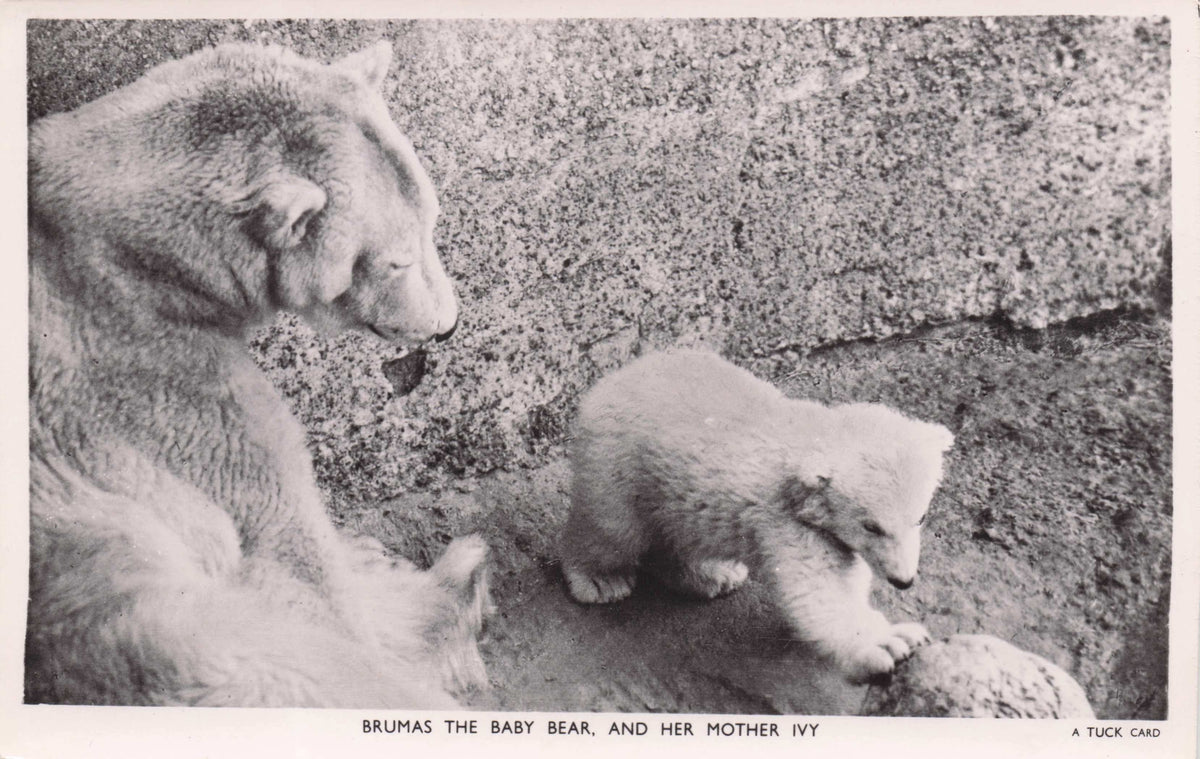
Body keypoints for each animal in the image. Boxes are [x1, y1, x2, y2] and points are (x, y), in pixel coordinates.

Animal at [27, 41, 489, 708]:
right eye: (397, 259)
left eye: (433, 218)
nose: (448, 326)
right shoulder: (156, 382)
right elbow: (289, 544)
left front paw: (376, 560)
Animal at [560, 349, 954, 683]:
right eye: (872, 526)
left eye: (920, 517)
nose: (904, 581)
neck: (811, 442)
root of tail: (615, 377)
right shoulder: (787, 520)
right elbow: (819, 591)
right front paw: (890, 643)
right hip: (620, 462)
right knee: (613, 528)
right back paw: (602, 581)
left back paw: (714, 575)